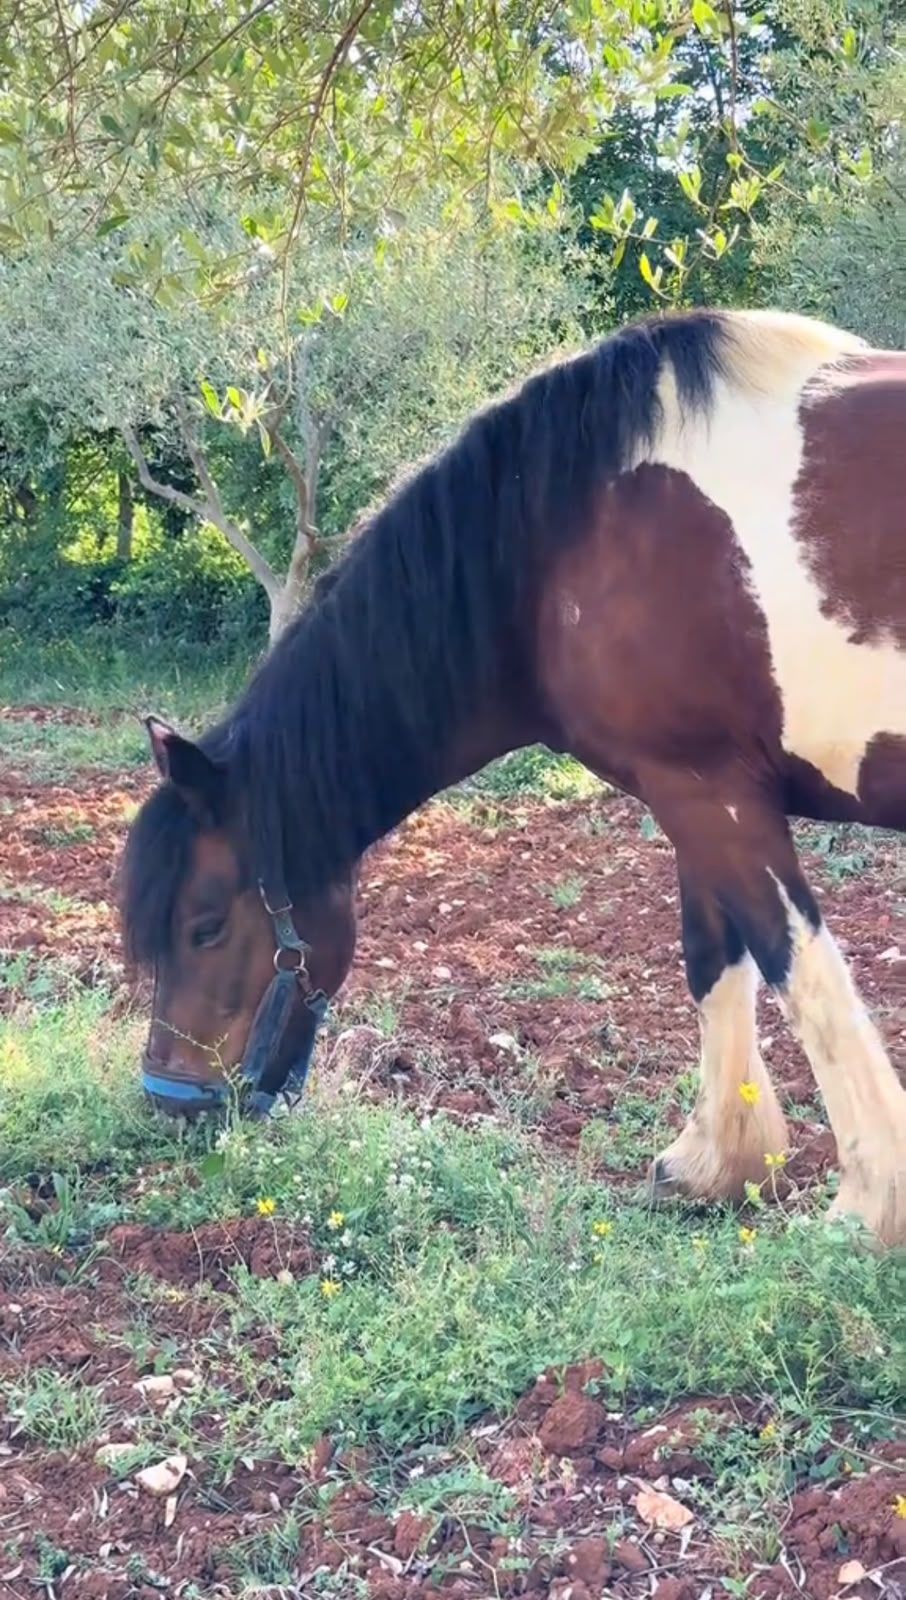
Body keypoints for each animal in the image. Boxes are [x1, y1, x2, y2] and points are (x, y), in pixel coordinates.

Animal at [121, 306, 906, 1248]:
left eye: (203, 928)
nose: (172, 1102)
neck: (569, 539)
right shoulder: (699, 791)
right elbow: (715, 960)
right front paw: (715, 1164)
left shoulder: (708, 790)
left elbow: (800, 968)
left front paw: (865, 1206)